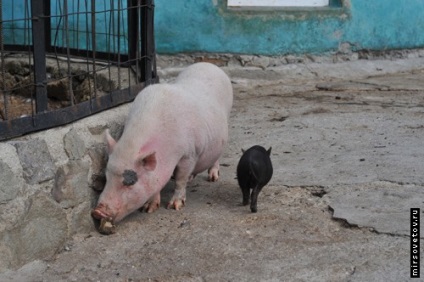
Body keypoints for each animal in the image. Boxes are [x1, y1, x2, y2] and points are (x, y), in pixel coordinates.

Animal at [90, 62, 234, 228]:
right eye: (107, 177)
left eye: (130, 182)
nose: (97, 212)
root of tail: (209, 64)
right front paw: (148, 209)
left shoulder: (189, 154)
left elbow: (180, 179)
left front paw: (174, 206)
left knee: (217, 156)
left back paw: (213, 178)